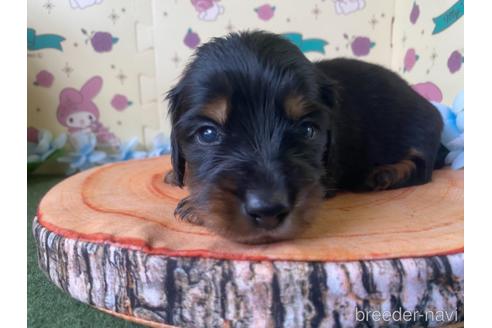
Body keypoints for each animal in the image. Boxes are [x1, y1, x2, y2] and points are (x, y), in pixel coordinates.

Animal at [164, 30, 442, 243]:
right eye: (208, 133)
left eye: (308, 130)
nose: (268, 211)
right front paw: (176, 176)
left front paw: (193, 205)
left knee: (422, 167)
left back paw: (383, 174)